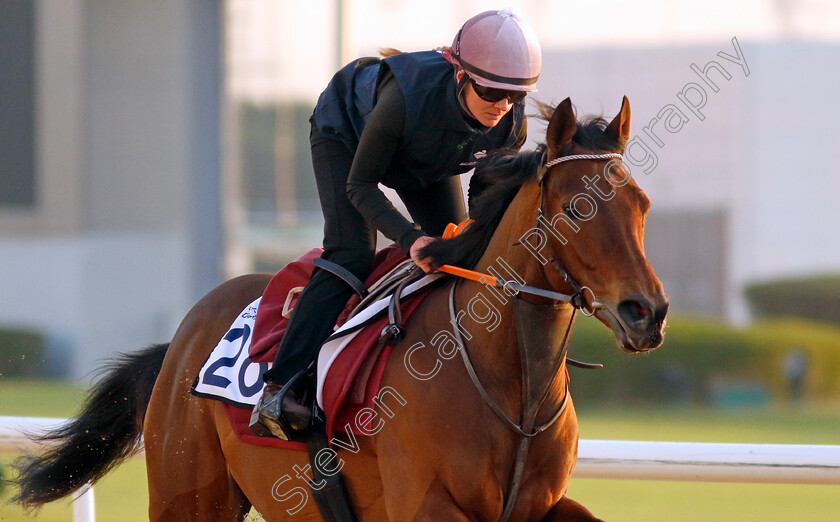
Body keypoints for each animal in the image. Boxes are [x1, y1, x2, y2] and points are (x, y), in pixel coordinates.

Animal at [13, 96, 668, 516]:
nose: (648, 313)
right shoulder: (426, 505)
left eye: (641, 204)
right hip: (188, 494)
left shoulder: (541, 507)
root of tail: (181, 339)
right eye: (577, 208)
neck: (511, 387)